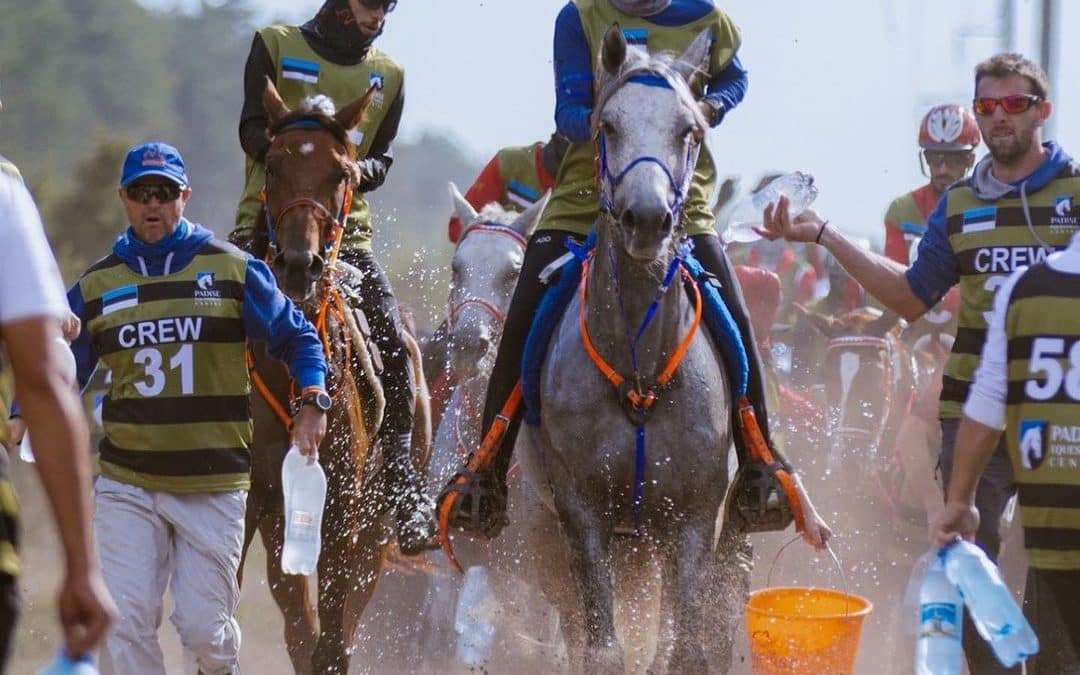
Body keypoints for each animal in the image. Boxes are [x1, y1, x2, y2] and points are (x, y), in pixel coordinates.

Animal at [239, 80, 429, 673]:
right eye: (273, 164)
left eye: (341, 173)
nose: (299, 266)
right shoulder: (250, 505)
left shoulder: (343, 519)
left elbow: (332, 644)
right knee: (301, 630)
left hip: (372, 537)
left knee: (333, 634)